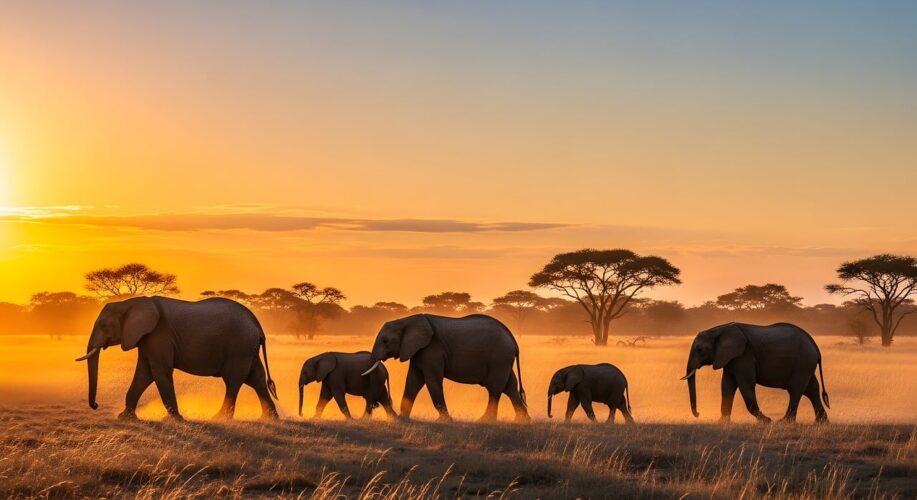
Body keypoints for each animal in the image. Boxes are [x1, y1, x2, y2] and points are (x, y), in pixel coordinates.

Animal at [75, 296, 279, 421]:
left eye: (103, 325)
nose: (96, 405)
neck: (130, 302)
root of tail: (258, 325)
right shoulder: (147, 338)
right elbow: (144, 374)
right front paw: (126, 417)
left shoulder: (159, 335)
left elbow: (159, 372)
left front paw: (175, 420)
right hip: (247, 349)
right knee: (256, 379)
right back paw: (269, 419)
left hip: (239, 346)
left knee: (233, 381)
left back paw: (219, 418)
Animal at [363, 313, 528, 422]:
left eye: (385, 341)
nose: (375, 405)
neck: (406, 320)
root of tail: (514, 341)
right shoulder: (418, 350)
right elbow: (413, 381)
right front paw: (403, 419)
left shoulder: (432, 349)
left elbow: (432, 381)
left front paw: (445, 421)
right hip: (503, 360)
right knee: (510, 387)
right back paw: (522, 422)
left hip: (499, 357)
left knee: (494, 387)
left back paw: (485, 421)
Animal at [682, 322, 829, 423]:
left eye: (700, 350)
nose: (698, 413)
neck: (718, 330)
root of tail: (815, 347)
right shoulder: (730, 358)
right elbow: (726, 385)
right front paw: (722, 422)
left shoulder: (744, 355)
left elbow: (746, 385)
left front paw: (766, 421)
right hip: (806, 364)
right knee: (811, 390)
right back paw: (821, 423)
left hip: (803, 362)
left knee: (795, 390)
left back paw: (784, 422)